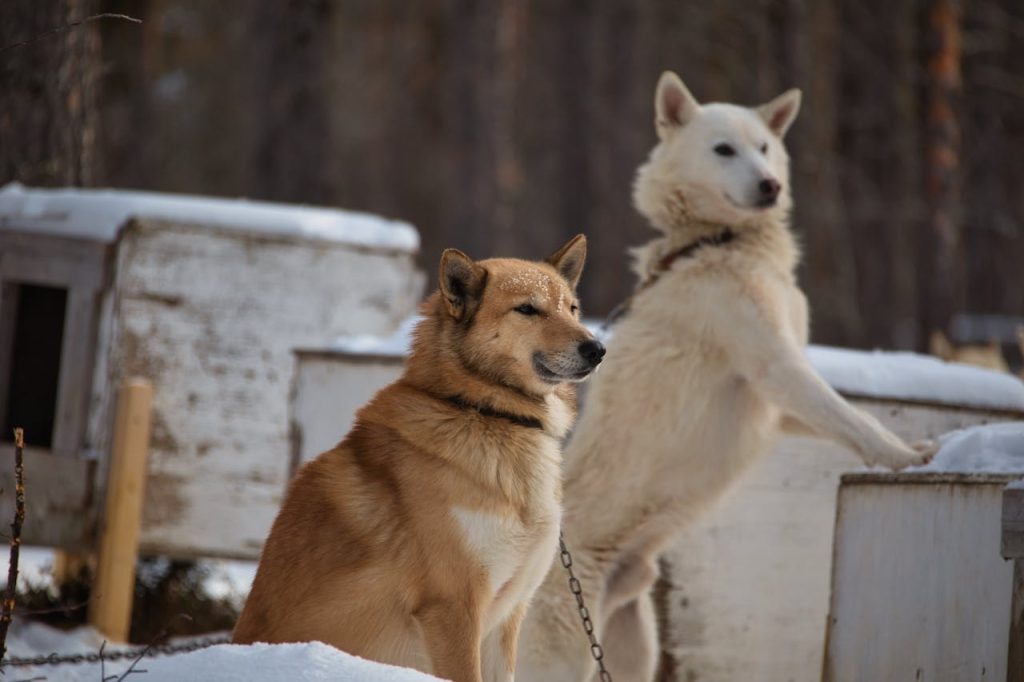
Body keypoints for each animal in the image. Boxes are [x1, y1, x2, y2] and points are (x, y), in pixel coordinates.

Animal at [234, 235, 598, 679]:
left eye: (572, 308)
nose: (597, 348)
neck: (484, 412)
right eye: (527, 309)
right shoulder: (453, 606)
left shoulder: (506, 617)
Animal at [520, 73, 937, 679]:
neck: (715, 243)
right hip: (563, 651)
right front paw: (908, 459)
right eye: (723, 150)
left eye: (763, 147)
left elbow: (845, 420)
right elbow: (855, 419)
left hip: (631, 646)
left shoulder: (778, 404)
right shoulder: (776, 366)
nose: (770, 186)